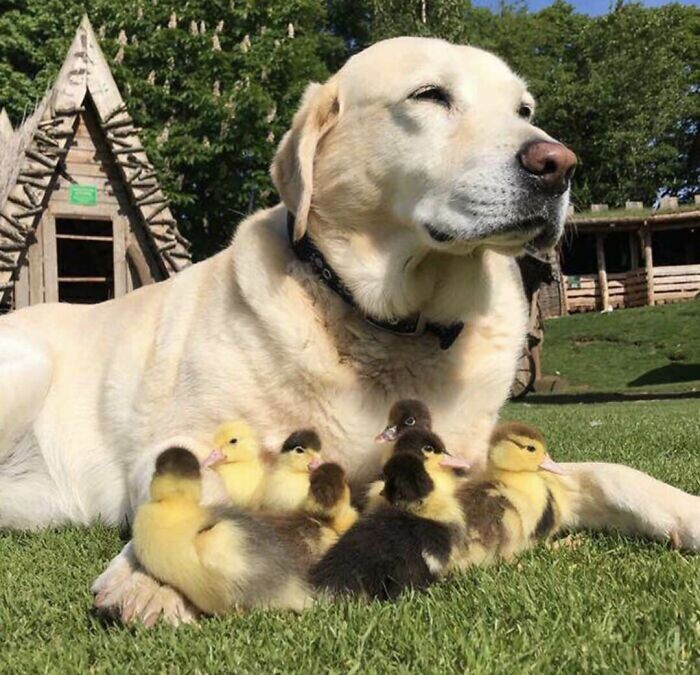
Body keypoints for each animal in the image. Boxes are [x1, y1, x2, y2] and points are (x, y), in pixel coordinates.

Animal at [1, 38, 700, 624]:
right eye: (430, 95)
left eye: (524, 108)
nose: (558, 163)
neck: (394, 326)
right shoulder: (186, 436)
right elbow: (191, 479)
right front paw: (151, 580)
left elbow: (610, 472)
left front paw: (687, 512)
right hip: (28, 364)